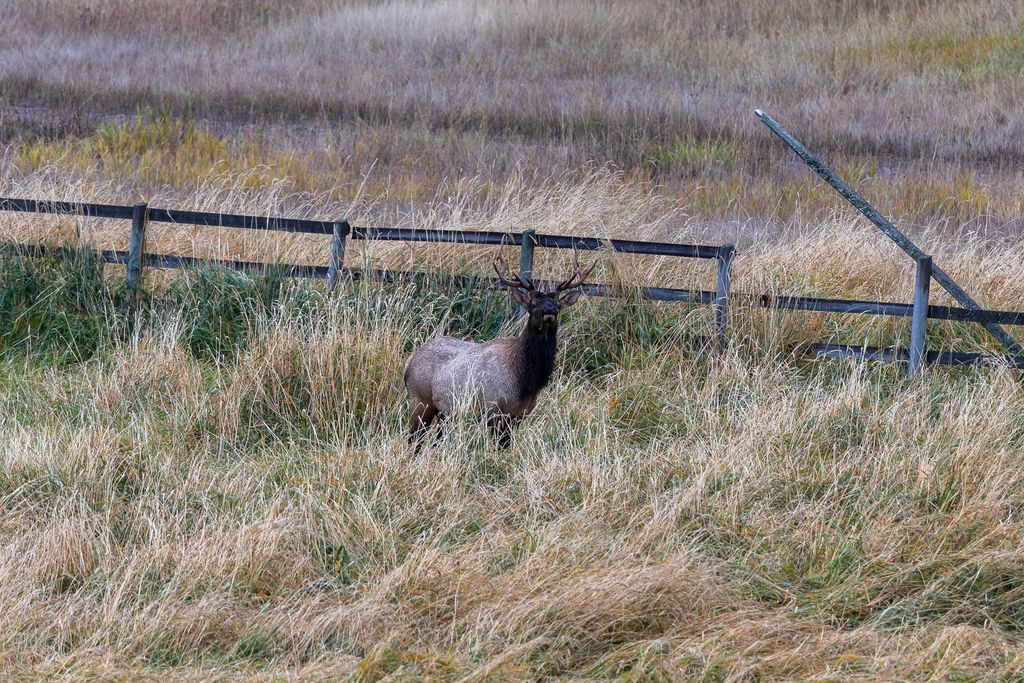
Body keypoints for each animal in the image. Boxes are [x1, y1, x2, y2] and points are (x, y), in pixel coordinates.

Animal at [403, 253, 595, 451]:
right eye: (533, 304)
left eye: (557, 304)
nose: (549, 310)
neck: (525, 382)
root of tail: (408, 364)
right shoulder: (494, 410)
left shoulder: (519, 415)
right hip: (420, 401)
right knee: (414, 440)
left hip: (444, 412)